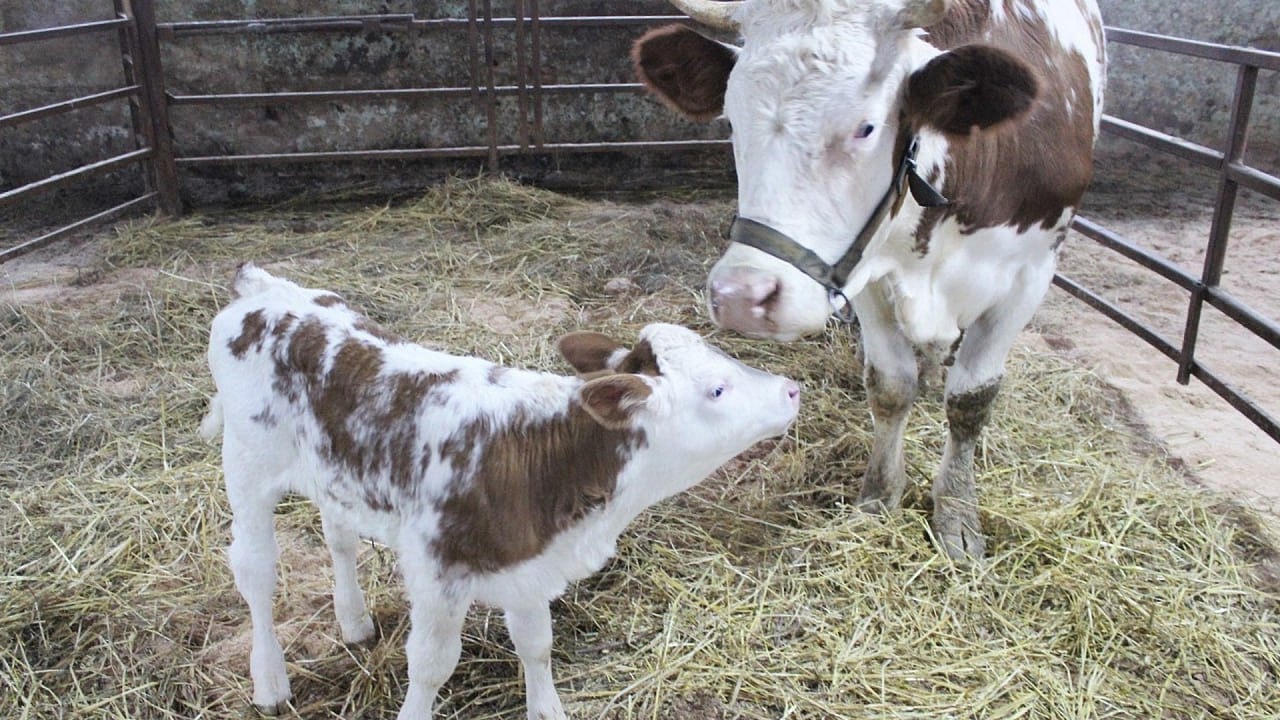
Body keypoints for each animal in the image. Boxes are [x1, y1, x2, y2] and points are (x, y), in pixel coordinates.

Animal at [201, 263, 800, 719]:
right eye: (717, 389)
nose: (791, 389)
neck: (544, 456)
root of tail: (264, 289)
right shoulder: (437, 570)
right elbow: (431, 666)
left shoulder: (528, 561)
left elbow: (536, 642)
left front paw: (547, 709)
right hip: (247, 463)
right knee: (256, 570)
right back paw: (270, 680)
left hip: (332, 471)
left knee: (339, 536)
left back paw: (354, 622)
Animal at [632, 0, 1106, 559]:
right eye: (732, 119)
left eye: (866, 128)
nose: (743, 297)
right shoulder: (867, 276)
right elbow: (890, 386)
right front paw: (880, 497)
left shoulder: (1029, 274)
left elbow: (972, 398)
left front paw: (957, 512)